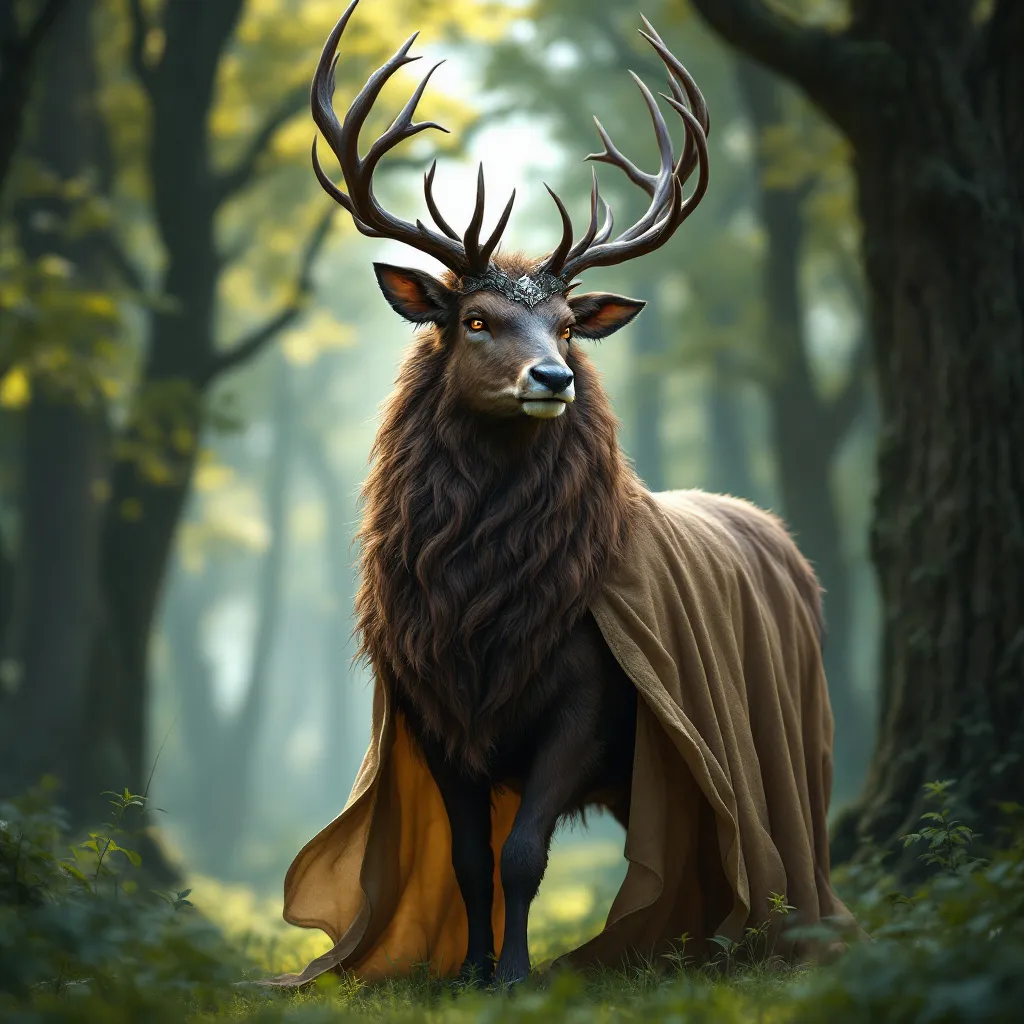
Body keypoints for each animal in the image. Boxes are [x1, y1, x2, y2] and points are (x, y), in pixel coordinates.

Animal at [302, 0, 835, 989]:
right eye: (474, 318)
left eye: (565, 326)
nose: (553, 378)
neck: (482, 615)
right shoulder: (434, 710)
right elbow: (471, 857)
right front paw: (470, 973)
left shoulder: (586, 700)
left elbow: (525, 854)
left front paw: (516, 976)